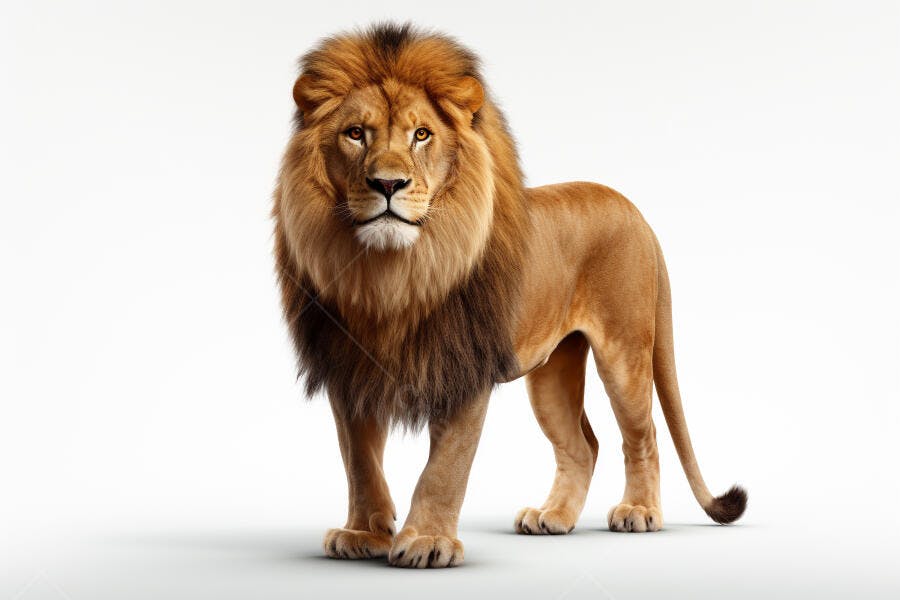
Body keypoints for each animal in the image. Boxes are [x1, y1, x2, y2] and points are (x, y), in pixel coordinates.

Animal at [273, 23, 747, 568]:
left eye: (421, 134)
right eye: (355, 133)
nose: (388, 184)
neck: (392, 275)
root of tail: (636, 213)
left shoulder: (462, 366)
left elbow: (445, 465)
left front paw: (428, 542)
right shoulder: (348, 368)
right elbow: (359, 460)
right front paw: (363, 535)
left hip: (625, 350)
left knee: (641, 434)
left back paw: (639, 511)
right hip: (552, 371)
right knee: (582, 445)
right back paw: (553, 517)